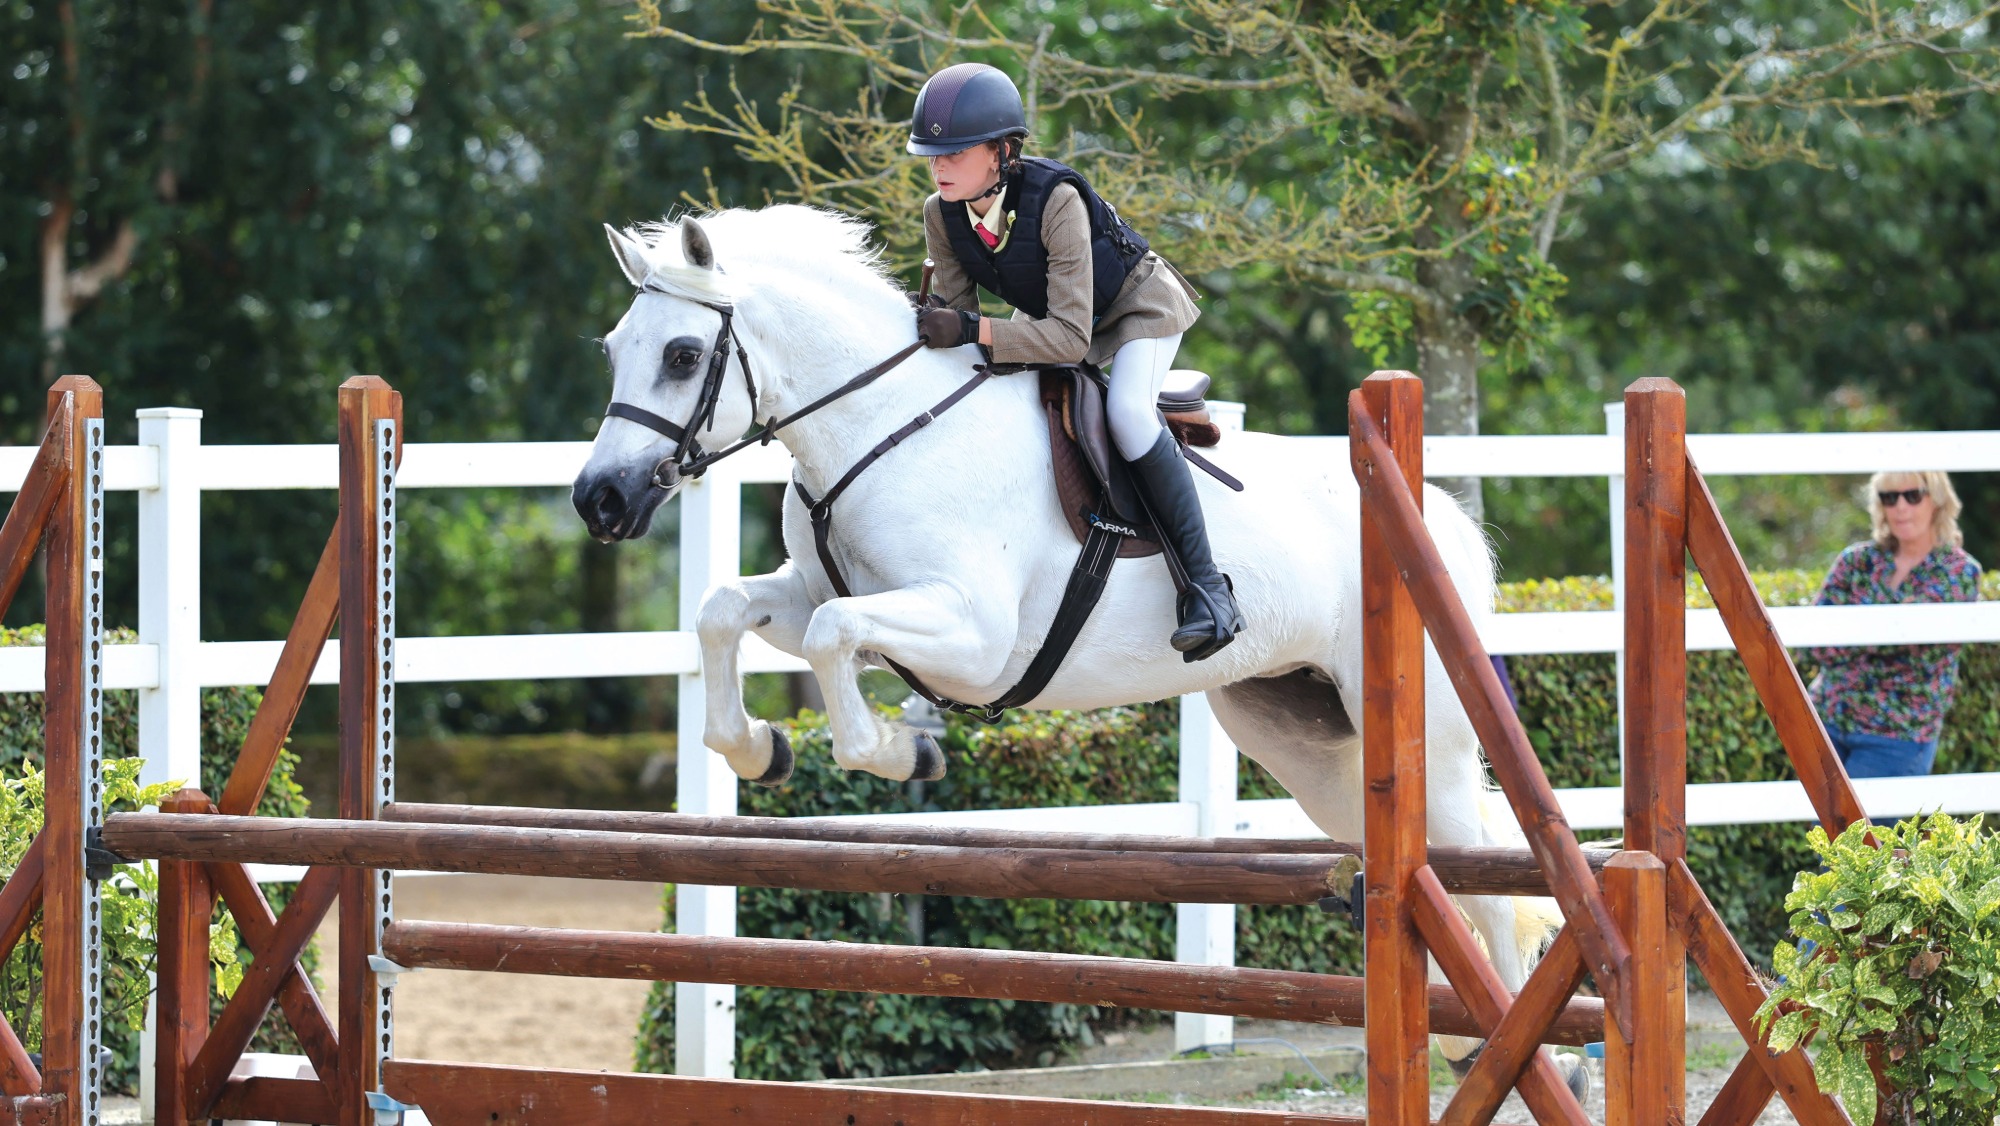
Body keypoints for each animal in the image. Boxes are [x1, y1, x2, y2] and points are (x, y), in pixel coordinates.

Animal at [572, 204, 1572, 1083]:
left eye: (682, 355)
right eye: (615, 349)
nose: (600, 500)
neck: (877, 426)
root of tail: (1435, 509)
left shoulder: (974, 637)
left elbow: (834, 639)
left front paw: (902, 752)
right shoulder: (813, 588)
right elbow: (725, 610)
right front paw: (760, 749)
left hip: (1422, 734)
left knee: (1480, 876)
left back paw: (1512, 1050)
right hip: (1304, 740)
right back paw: (1464, 1042)